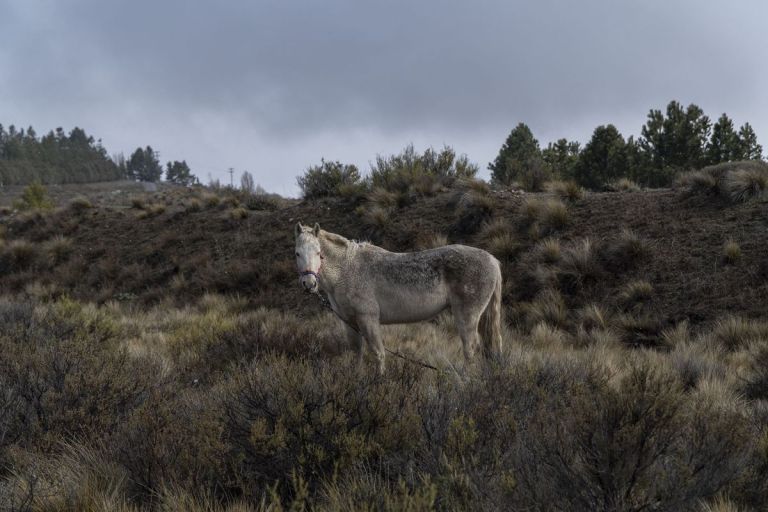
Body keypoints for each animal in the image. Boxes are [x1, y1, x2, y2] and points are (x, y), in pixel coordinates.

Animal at [294, 222, 504, 374]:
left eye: (319, 253)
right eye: (297, 253)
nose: (309, 284)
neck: (347, 269)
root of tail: (492, 260)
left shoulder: (368, 319)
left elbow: (378, 353)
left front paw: (379, 382)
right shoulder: (349, 323)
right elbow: (357, 354)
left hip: (467, 316)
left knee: (471, 348)